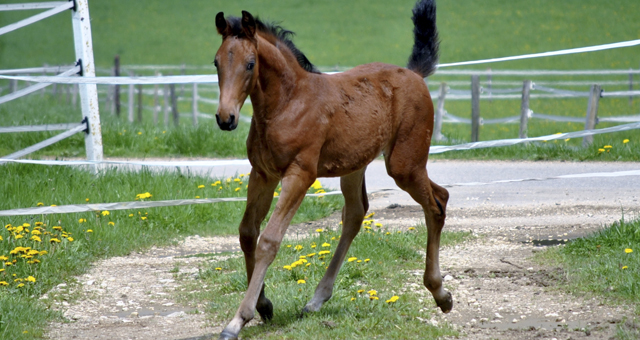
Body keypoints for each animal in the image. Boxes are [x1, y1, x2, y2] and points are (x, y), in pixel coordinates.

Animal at [212, 0, 448, 338]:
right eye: (216, 63)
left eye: (250, 64)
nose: (225, 118)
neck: (287, 103)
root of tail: (415, 75)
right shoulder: (262, 174)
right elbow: (247, 233)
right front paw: (264, 305)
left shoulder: (300, 174)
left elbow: (269, 240)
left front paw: (238, 319)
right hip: (355, 167)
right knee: (357, 213)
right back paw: (316, 299)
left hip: (405, 164)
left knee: (437, 203)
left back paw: (440, 293)